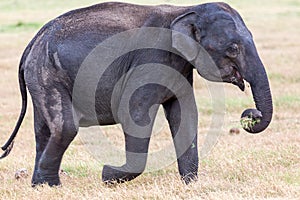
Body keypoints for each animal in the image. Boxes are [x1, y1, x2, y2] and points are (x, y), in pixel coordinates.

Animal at [0, 1, 272, 187]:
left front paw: (190, 184)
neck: (184, 10)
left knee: (43, 130)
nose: (251, 115)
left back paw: (41, 186)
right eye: (233, 48)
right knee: (65, 126)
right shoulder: (149, 60)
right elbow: (135, 113)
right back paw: (52, 186)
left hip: (42, 74)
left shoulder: (180, 65)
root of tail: (33, 42)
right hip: (47, 73)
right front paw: (107, 175)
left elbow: (184, 114)